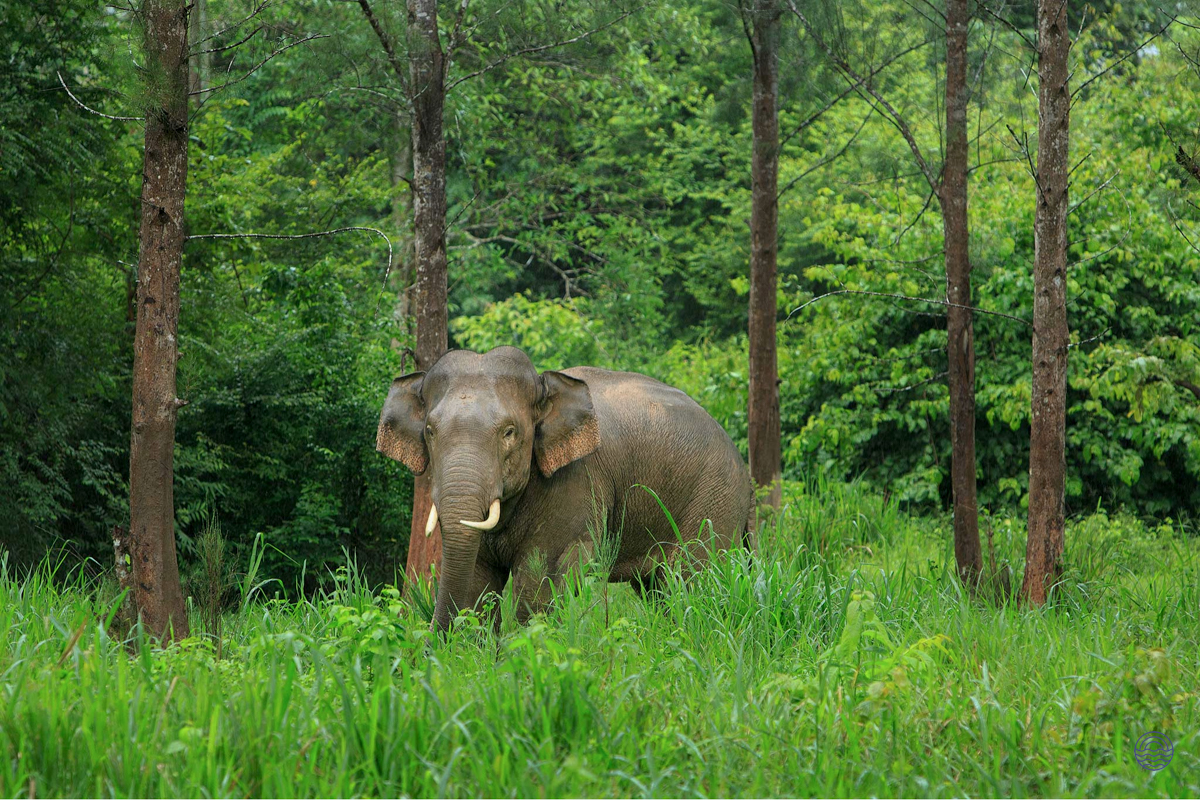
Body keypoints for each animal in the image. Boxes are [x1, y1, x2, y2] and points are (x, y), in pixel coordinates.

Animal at [376, 346, 754, 632]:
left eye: (509, 432)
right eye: (429, 431)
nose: (428, 645)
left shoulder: (577, 481)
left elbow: (539, 576)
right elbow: (476, 581)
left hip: (713, 500)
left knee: (695, 581)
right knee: (659, 591)